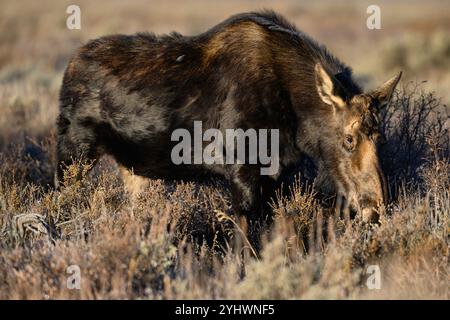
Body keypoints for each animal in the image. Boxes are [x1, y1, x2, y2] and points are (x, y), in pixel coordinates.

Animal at [56, 10, 400, 245]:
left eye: (380, 137)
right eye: (348, 139)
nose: (375, 208)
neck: (294, 118)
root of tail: (69, 66)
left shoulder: (274, 174)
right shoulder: (241, 169)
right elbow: (245, 239)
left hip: (131, 167)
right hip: (74, 150)